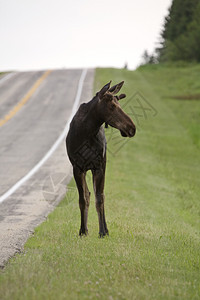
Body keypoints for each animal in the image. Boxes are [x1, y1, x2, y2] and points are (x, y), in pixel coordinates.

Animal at [66, 81, 136, 237]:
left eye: (119, 103)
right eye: (112, 106)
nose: (132, 128)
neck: (86, 132)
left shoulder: (98, 166)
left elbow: (99, 199)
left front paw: (103, 231)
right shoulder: (77, 168)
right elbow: (83, 199)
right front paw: (82, 231)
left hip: (101, 165)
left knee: (101, 196)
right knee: (88, 194)